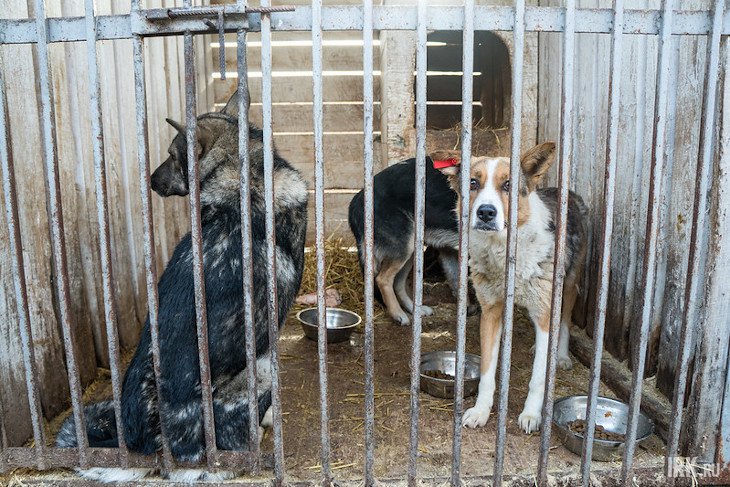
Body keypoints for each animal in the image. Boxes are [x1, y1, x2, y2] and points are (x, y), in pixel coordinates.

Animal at [438, 142, 584, 434]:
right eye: (473, 183)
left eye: (508, 185)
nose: (486, 212)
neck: (503, 252)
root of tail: (566, 192)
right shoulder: (491, 312)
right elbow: (486, 372)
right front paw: (481, 411)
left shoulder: (545, 310)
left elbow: (538, 377)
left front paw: (531, 415)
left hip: (569, 284)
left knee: (564, 320)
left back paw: (561, 355)